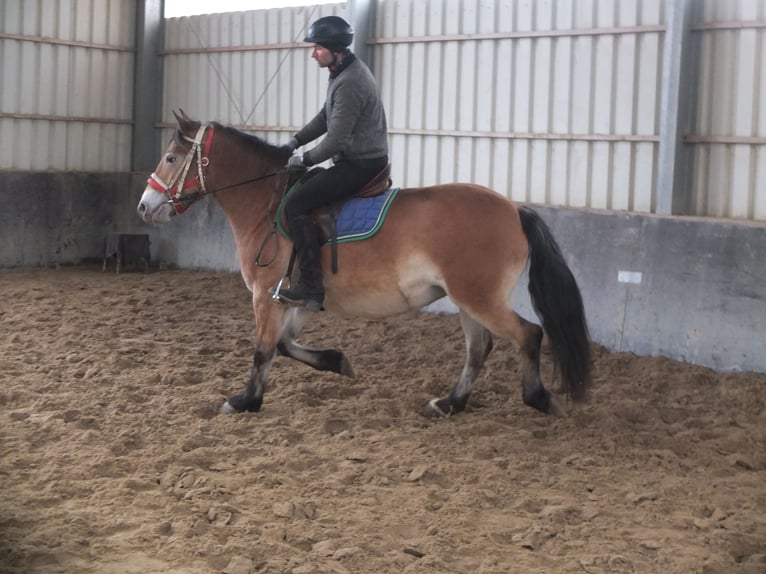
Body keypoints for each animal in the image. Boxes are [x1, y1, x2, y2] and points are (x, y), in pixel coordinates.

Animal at [136, 111, 592, 418]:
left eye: (171, 159)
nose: (144, 206)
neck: (265, 204)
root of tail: (514, 209)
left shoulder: (266, 297)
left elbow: (263, 351)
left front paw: (245, 401)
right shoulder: (296, 299)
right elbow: (284, 345)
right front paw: (338, 362)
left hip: (479, 298)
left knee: (529, 335)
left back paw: (537, 398)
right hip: (469, 300)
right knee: (479, 349)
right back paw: (449, 403)